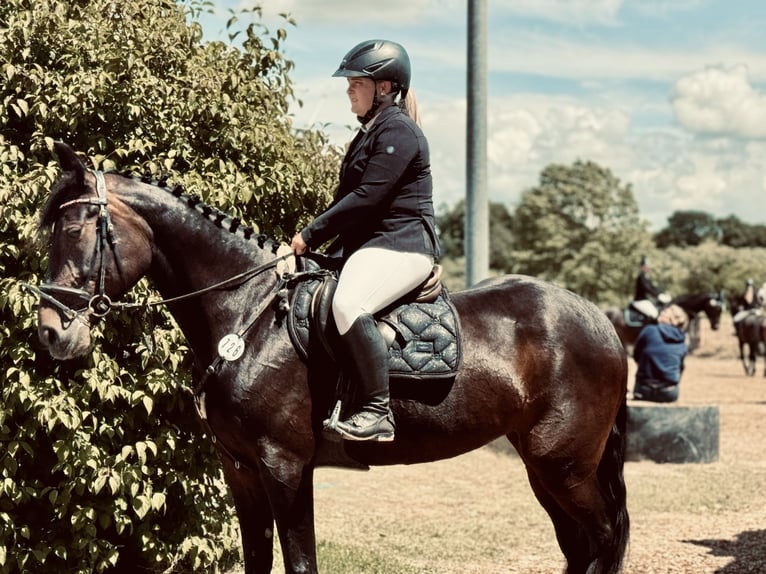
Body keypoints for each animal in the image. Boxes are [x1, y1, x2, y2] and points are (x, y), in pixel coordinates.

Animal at [31, 144, 632, 574]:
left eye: (76, 230)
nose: (52, 333)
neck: (248, 314)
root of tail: (599, 318)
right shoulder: (241, 470)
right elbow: (258, 560)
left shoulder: (285, 465)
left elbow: (301, 563)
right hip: (544, 469)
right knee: (581, 547)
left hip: (565, 467)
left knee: (602, 540)